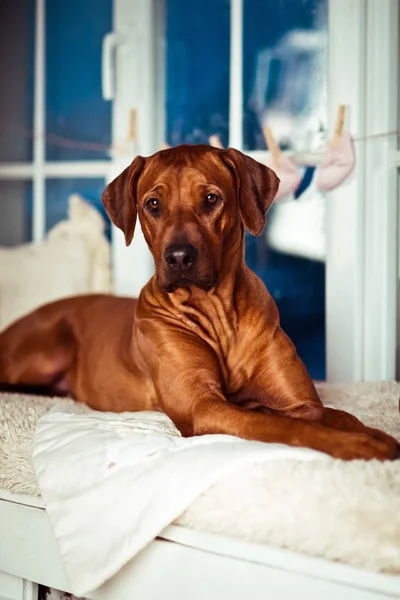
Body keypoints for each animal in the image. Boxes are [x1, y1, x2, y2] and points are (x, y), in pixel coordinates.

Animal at [0, 145, 398, 460]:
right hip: (44, 351)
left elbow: (335, 415)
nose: (178, 257)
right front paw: (355, 445)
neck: (217, 312)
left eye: (210, 198)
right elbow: (284, 426)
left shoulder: (297, 403)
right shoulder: (203, 407)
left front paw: (370, 433)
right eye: (153, 204)